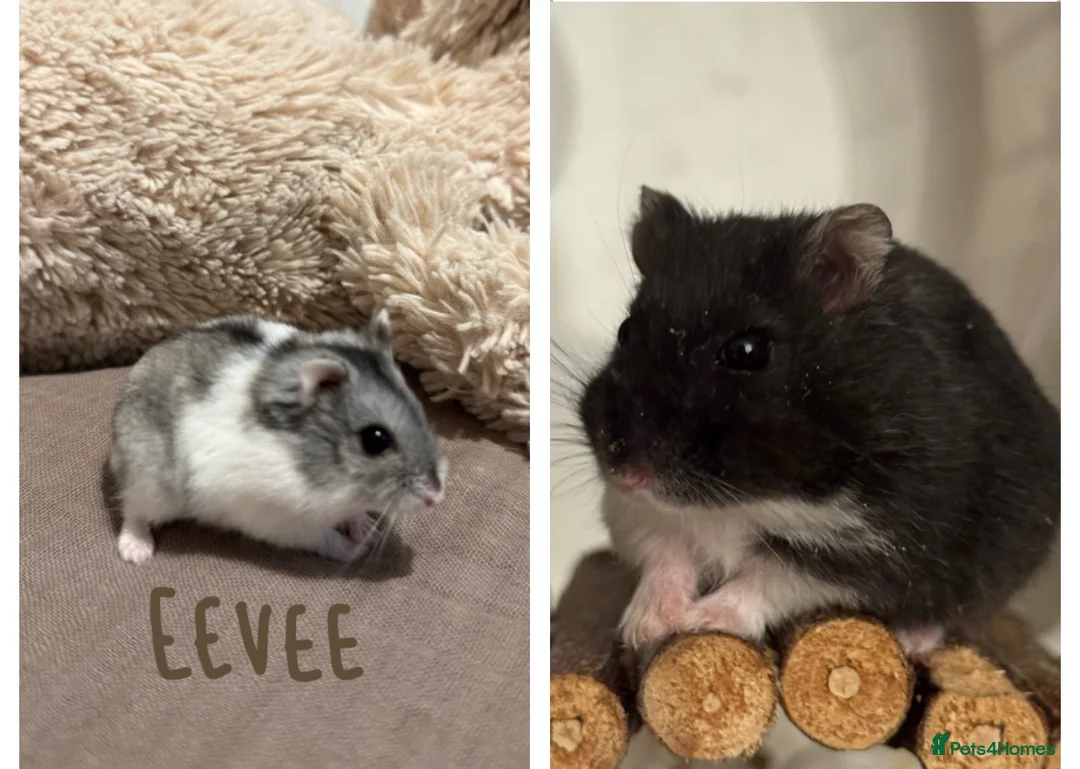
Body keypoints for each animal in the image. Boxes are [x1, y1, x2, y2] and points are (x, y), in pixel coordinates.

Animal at [109, 311, 448, 564]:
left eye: (419, 409)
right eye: (375, 440)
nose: (437, 497)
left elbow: (353, 516)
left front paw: (368, 530)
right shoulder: (287, 522)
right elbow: (328, 540)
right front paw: (360, 549)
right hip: (149, 484)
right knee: (133, 511)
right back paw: (136, 553)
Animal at [578, 187, 1059, 657]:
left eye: (748, 351)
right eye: (625, 331)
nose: (624, 470)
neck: (736, 502)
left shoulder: (862, 545)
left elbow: (769, 579)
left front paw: (704, 620)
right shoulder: (635, 511)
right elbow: (665, 554)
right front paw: (648, 626)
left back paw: (912, 639)